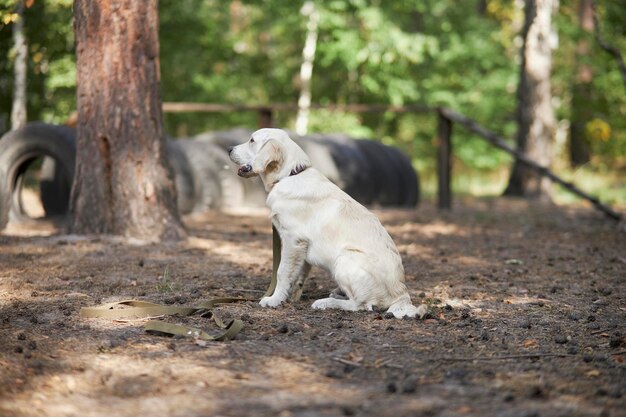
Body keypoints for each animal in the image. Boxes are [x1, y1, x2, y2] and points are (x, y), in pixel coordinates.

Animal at [227, 128, 426, 316]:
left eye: (252, 140)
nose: (229, 149)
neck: (289, 175)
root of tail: (402, 296)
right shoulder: (302, 247)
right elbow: (298, 275)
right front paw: (291, 296)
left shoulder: (293, 239)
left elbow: (282, 272)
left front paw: (274, 299)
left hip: (345, 259)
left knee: (362, 305)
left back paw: (326, 303)